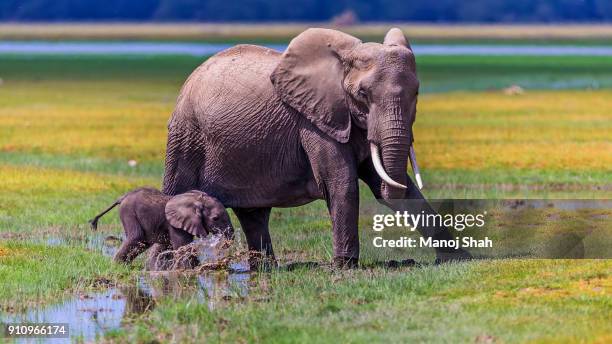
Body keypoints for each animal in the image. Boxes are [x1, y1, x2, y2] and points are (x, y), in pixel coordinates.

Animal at [89, 188, 234, 266]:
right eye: (215, 218)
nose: (223, 246)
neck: (195, 200)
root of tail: (122, 197)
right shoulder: (175, 225)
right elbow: (183, 247)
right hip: (128, 212)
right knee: (136, 237)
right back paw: (117, 266)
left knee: (142, 242)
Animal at [161, 28, 468, 268]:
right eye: (362, 94)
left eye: (416, 93)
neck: (345, 59)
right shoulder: (314, 121)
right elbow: (342, 182)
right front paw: (345, 266)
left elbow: (390, 182)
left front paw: (458, 258)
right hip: (186, 137)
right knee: (176, 196)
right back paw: (177, 267)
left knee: (254, 213)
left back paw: (265, 269)